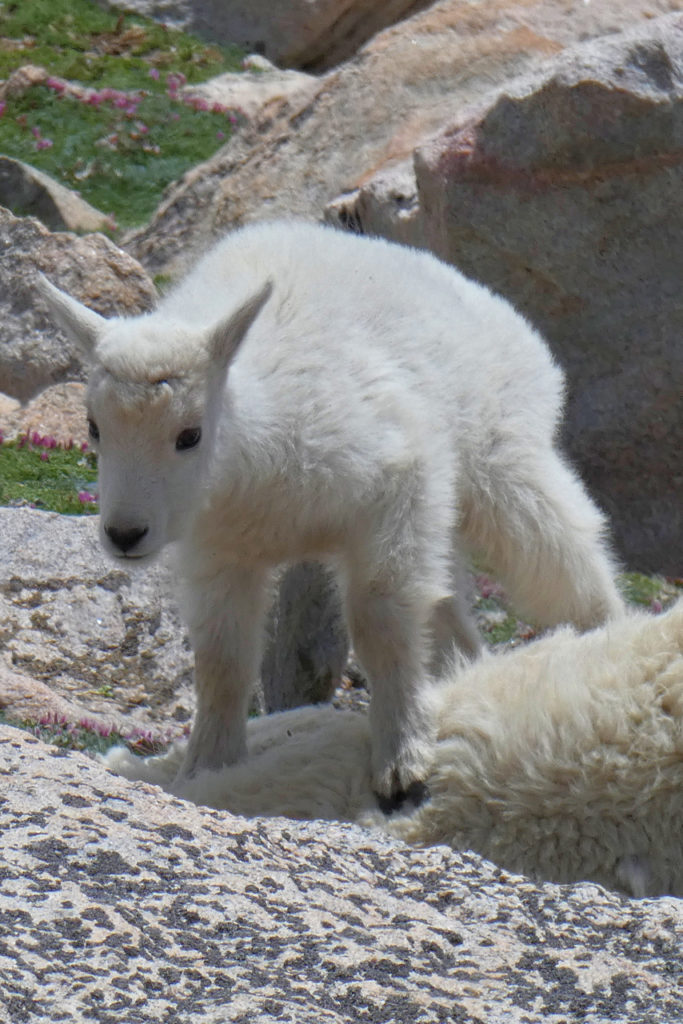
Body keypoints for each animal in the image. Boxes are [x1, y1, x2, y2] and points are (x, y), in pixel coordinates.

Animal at [37, 220, 626, 802]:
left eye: (189, 435)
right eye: (93, 426)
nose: (125, 534)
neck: (250, 456)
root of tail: (508, 319)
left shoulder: (396, 490)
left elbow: (379, 618)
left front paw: (402, 762)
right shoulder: (219, 552)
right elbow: (223, 658)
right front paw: (203, 772)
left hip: (502, 465)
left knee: (567, 561)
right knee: (452, 619)